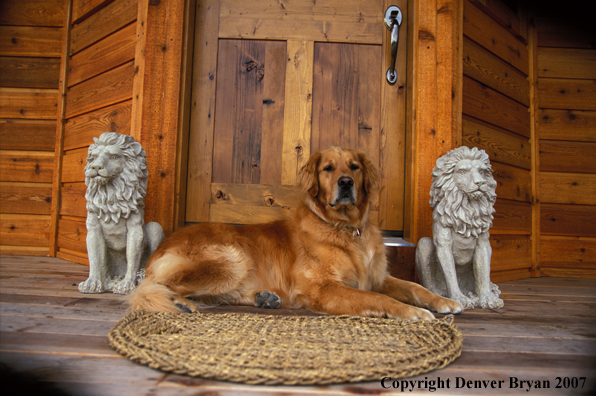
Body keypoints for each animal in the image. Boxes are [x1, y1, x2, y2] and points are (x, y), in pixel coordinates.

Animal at [130, 147, 464, 320]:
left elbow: (414, 286)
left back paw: (264, 298)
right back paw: (180, 303)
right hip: (231, 258)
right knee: (154, 287)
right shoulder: (322, 287)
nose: (345, 182)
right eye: (328, 168)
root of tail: (162, 247)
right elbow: (375, 298)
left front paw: (442, 301)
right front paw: (410, 312)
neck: (345, 228)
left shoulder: (377, 276)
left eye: (354, 166)